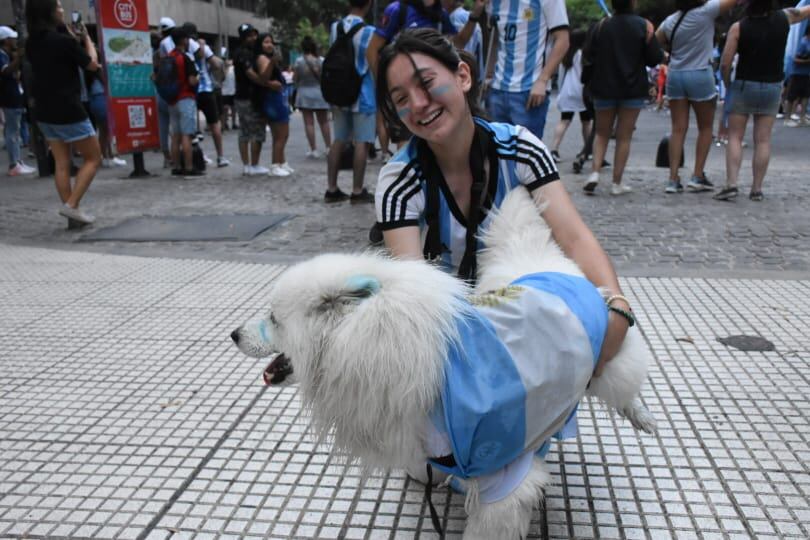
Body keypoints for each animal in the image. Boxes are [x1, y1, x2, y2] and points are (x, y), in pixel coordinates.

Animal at [230, 188, 652, 536]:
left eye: (273, 319)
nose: (233, 334)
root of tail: (536, 260)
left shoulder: (504, 474)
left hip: (608, 367)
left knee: (624, 387)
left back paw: (640, 416)